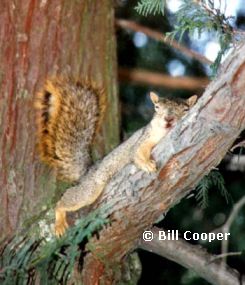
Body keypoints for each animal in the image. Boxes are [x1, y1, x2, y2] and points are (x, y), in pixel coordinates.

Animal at [35, 77, 197, 235]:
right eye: (157, 108)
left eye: (185, 109)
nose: (168, 119)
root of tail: (88, 171)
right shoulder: (144, 138)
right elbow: (136, 152)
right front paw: (146, 164)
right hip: (91, 188)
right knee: (67, 200)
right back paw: (60, 219)